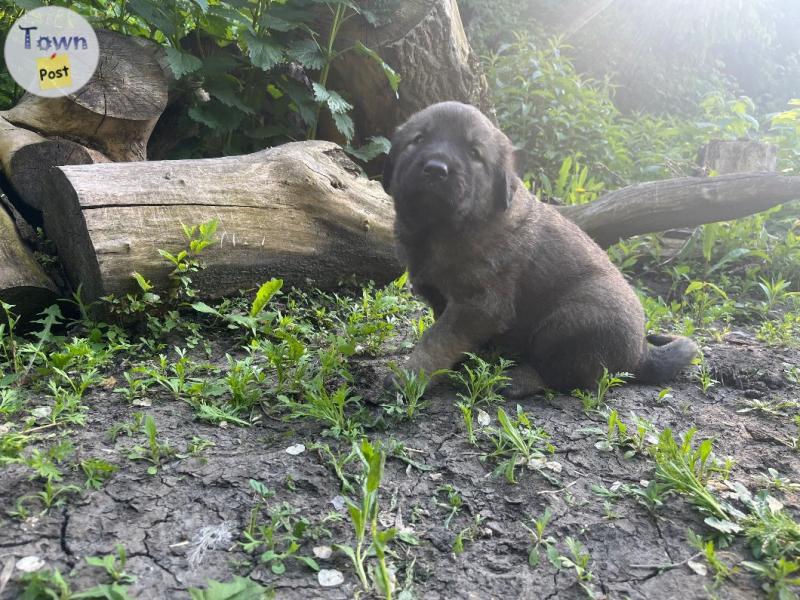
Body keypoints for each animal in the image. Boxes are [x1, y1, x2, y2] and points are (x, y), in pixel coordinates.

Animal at [380, 101, 692, 396]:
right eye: (418, 139)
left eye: (474, 153)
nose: (436, 169)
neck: (441, 230)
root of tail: (641, 353)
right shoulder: (443, 300)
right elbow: (448, 337)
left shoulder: (480, 304)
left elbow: (437, 339)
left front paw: (410, 377)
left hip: (572, 319)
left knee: (564, 376)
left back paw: (515, 379)